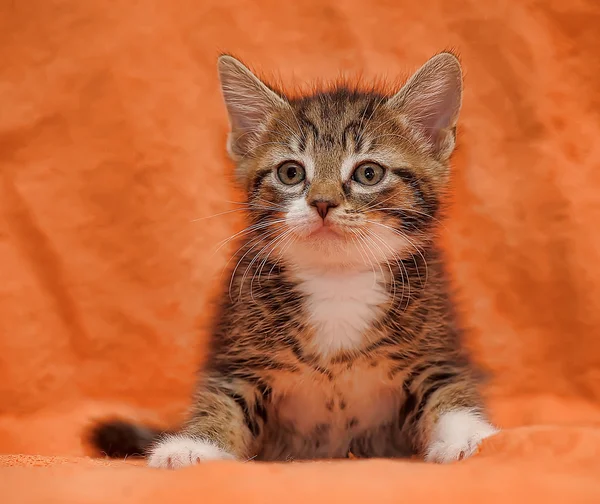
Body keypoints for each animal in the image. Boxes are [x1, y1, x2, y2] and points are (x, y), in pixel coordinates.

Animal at [89, 53, 500, 466]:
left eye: (369, 173)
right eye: (291, 172)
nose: (322, 202)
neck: (337, 281)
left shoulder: (436, 350)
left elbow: (449, 394)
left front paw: (467, 437)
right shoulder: (238, 355)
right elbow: (222, 401)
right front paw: (192, 446)